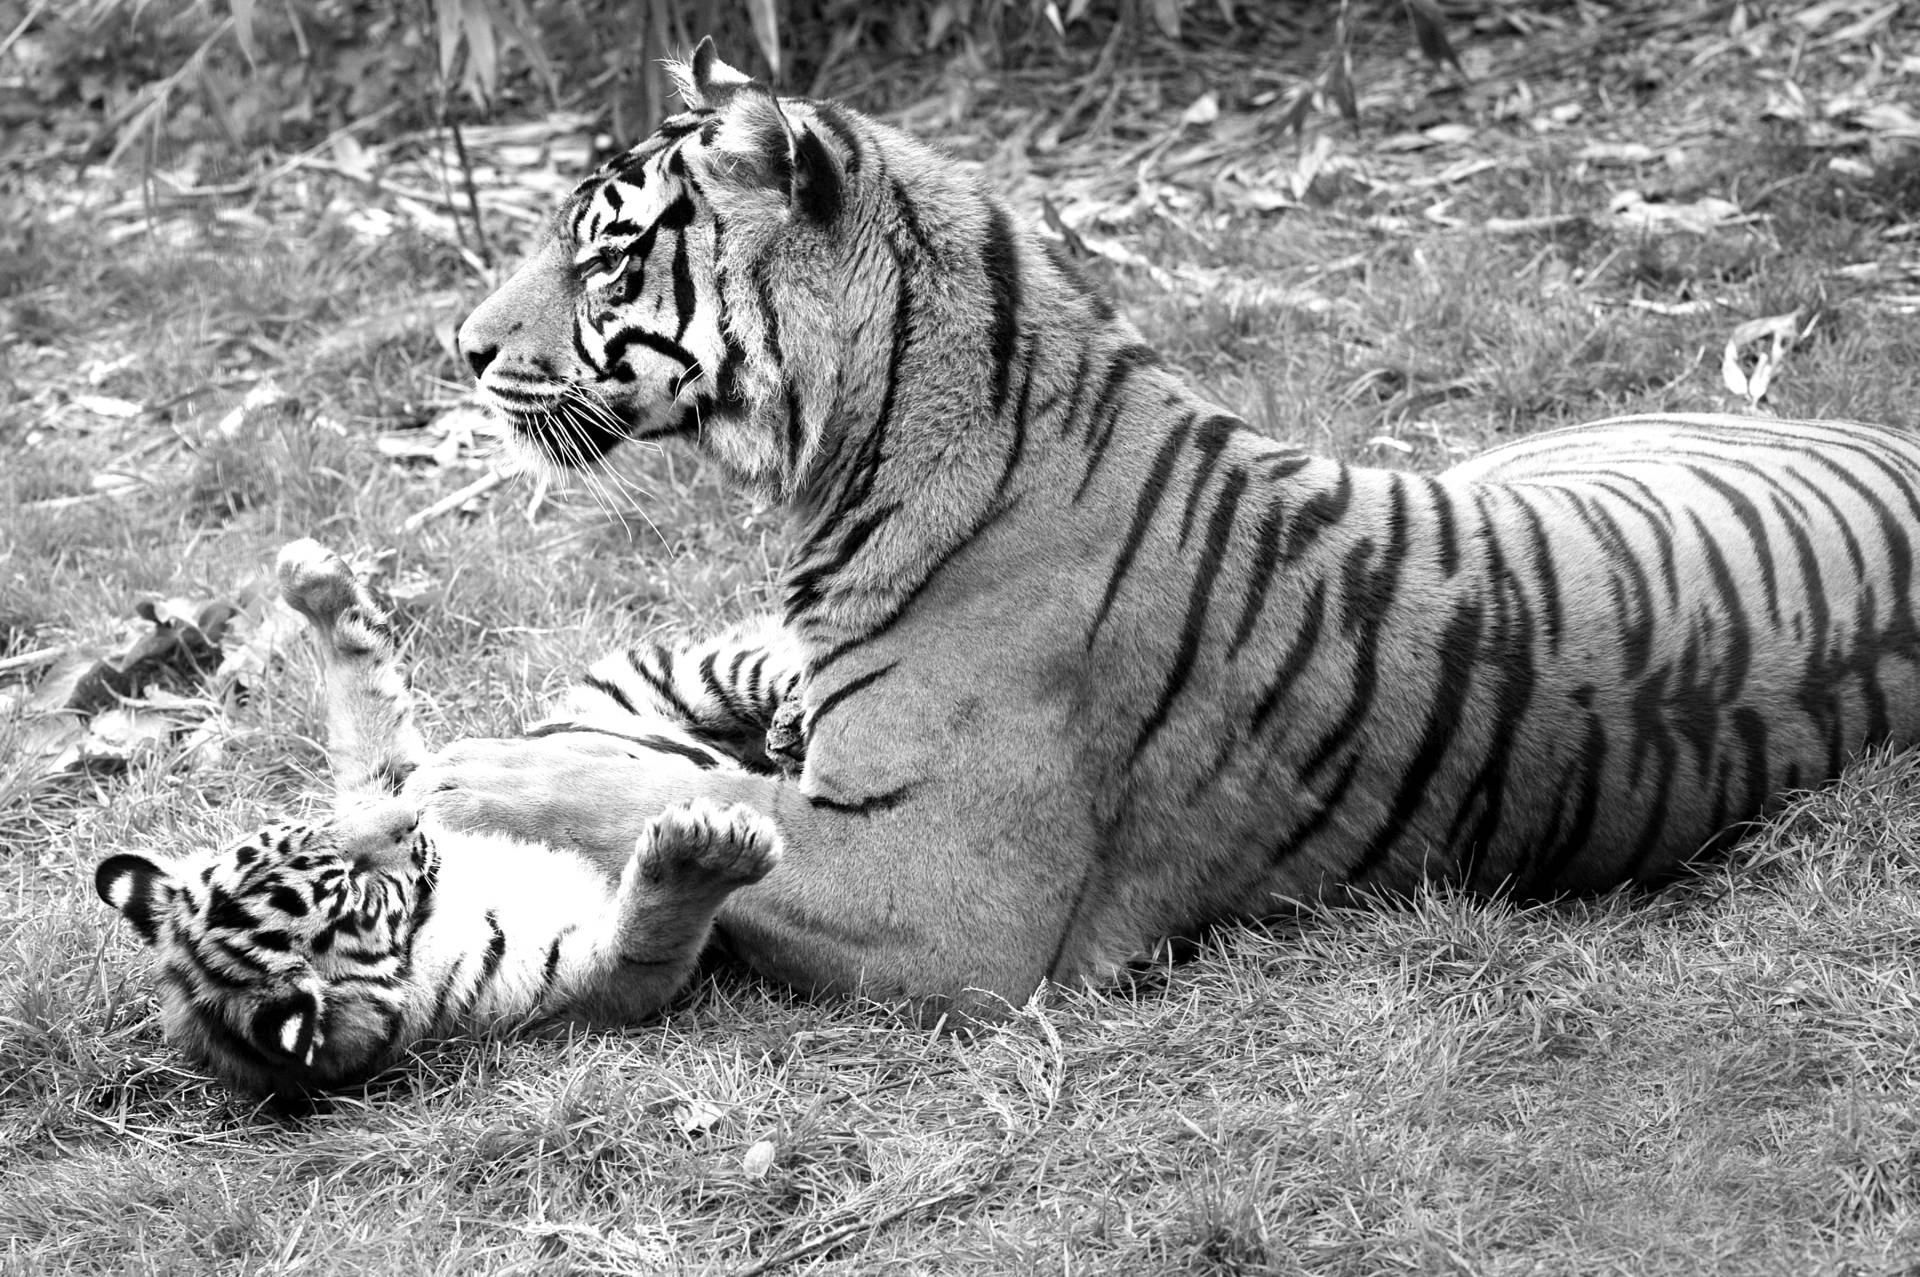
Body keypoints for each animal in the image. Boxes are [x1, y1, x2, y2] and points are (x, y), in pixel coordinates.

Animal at [93, 538, 793, 1096]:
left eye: (316, 832)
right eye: (352, 888)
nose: (412, 820)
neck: (428, 916)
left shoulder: (393, 776)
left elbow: (362, 699)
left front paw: (315, 582)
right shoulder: (582, 978)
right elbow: (652, 932)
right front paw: (702, 852)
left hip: (669, 683)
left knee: (768, 666)